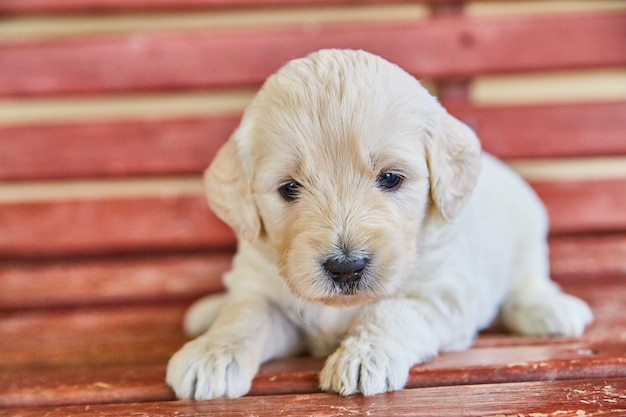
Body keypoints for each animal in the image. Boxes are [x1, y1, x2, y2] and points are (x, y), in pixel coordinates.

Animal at [165, 48, 588, 400]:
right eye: (289, 187)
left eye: (390, 178)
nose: (346, 268)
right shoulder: (261, 289)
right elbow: (244, 314)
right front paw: (213, 353)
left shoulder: (444, 293)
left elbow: (391, 312)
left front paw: (364, 356)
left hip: (528, 229)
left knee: (528, 282)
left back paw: (550, 310)